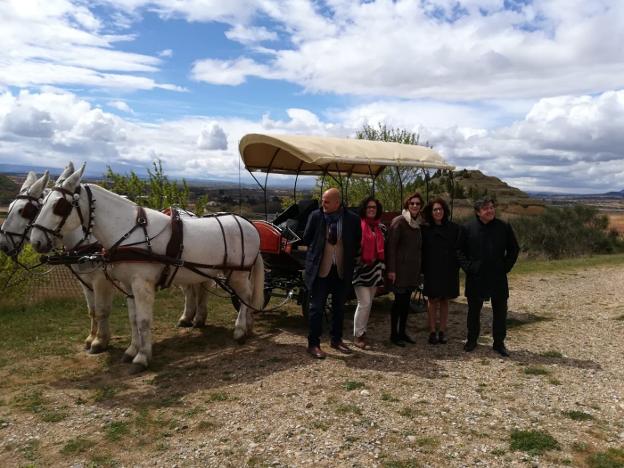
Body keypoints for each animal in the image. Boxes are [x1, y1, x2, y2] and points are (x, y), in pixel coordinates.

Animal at [29, 163, 264, 372]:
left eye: (59, 205)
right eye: (41, 204)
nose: (36, 241)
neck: (129, 232)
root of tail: (250, 225)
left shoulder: (141, 285)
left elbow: (143, 320)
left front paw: (142, 358)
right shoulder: (127, 286)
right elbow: (133, 320)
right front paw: (132, 350)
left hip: (237, 273)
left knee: (245, 296)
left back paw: (240, 329)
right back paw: (247, 325)